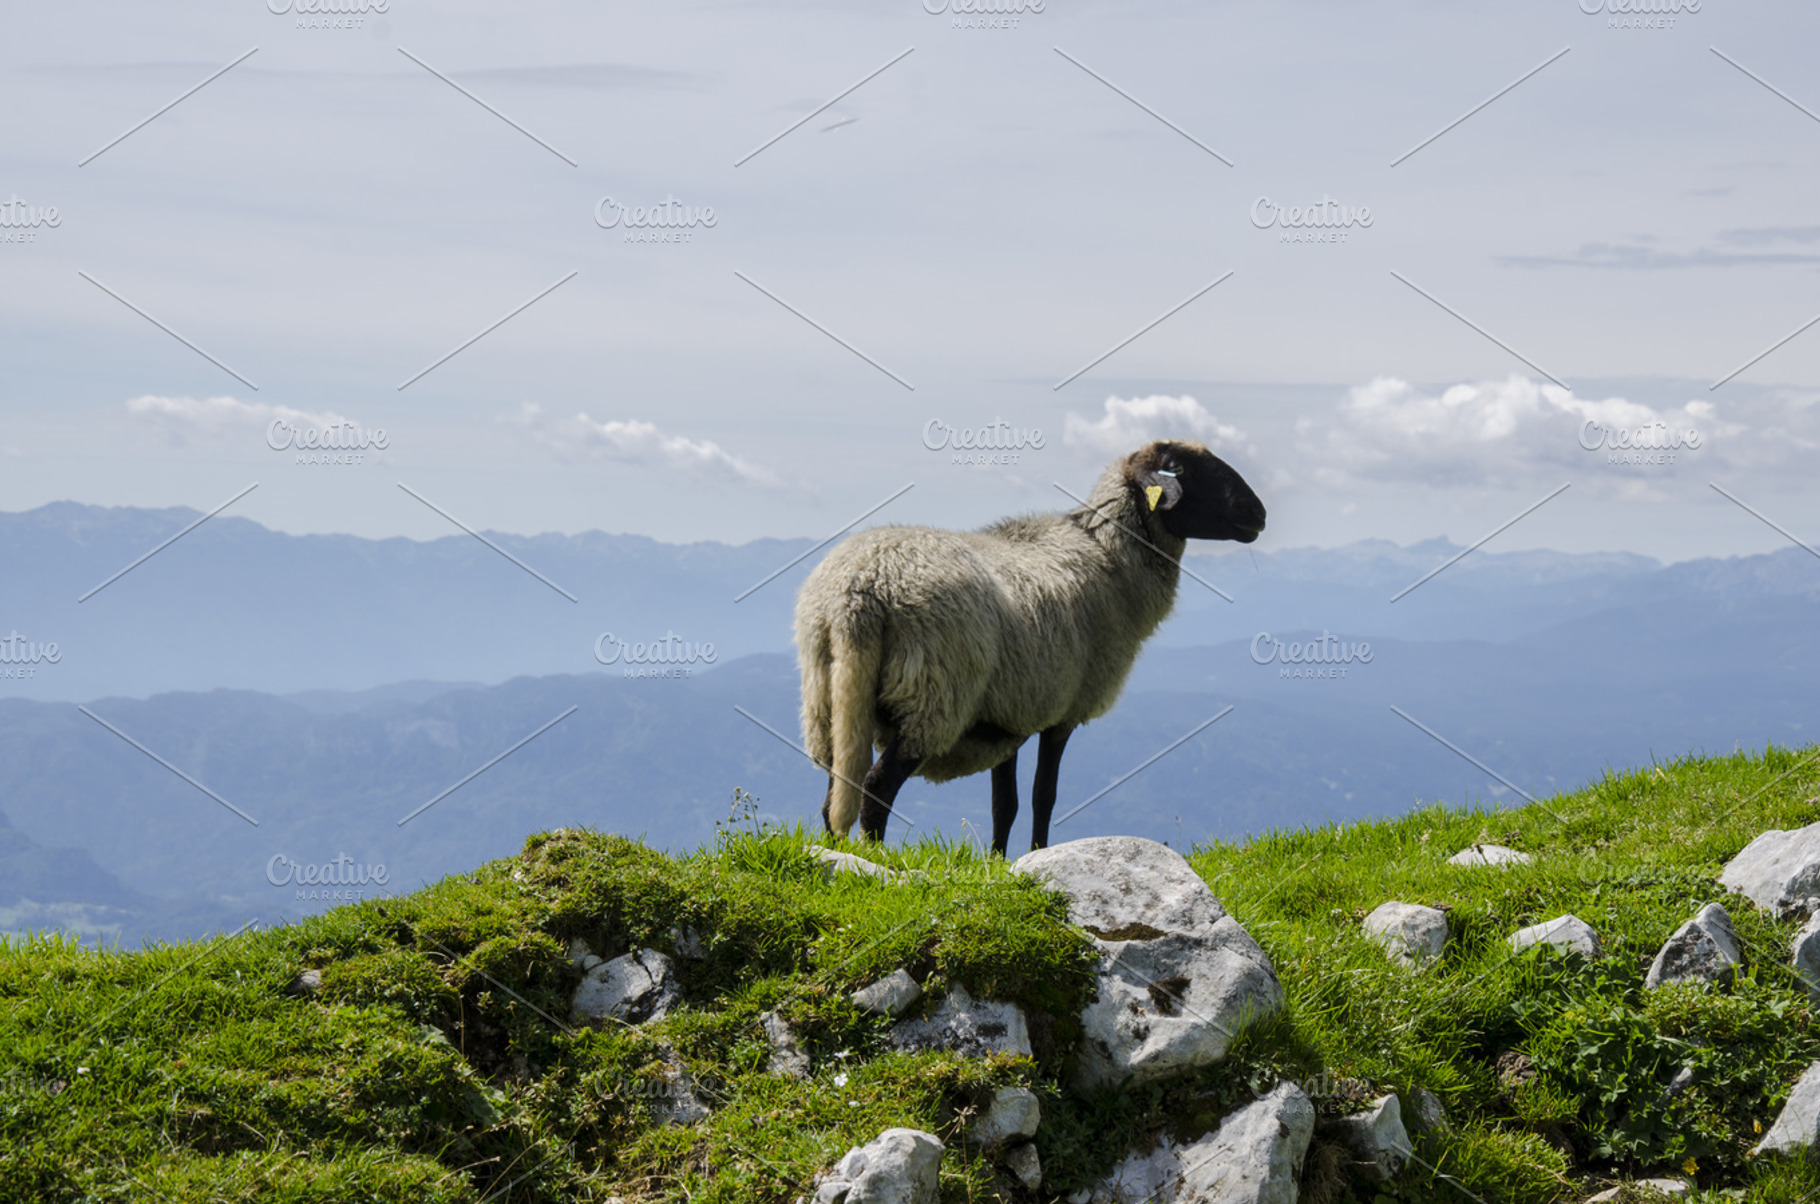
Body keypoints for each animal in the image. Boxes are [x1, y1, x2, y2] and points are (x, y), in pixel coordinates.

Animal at [793, 439, 1265, 855]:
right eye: (1182, 468)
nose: (1258, 513)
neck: (1109, 556)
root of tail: (859, 589)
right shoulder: (1062, 712)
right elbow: (1044, 796)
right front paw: (1038, 853)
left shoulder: (1010, 715)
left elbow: (1005, 804)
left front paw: (998, 864)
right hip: (931, 697)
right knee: (877, 787)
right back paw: (876, 860)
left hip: (829, 699)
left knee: (835, 794)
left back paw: (839, 852)